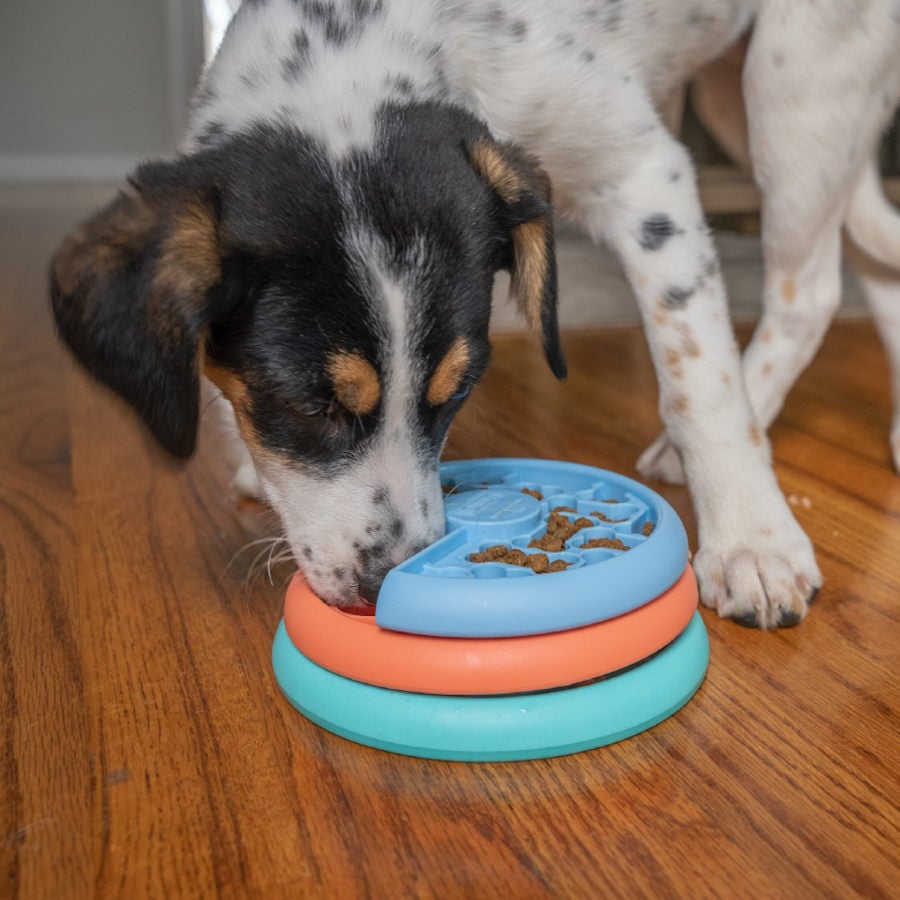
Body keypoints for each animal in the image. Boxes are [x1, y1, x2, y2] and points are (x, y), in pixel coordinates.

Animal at [49, 0, 900, 628]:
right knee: (875, 263)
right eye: (306, 406)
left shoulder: (645, 173)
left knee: (811, 287)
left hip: (797, 87)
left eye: (456, 392)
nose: (392, 582)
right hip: (748, 101)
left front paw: (751, 539)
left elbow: (700, 380)